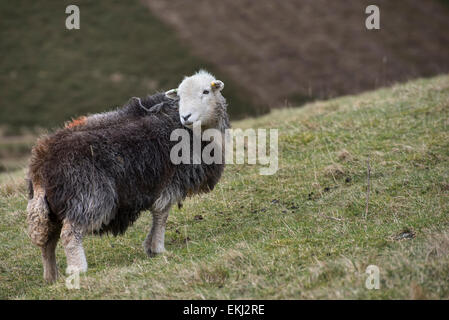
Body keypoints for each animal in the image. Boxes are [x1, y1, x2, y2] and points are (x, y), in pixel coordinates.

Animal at [26, 70, 229, 282]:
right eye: (180, 96)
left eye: (206, 91)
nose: (186, 116)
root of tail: (41, 165)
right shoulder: (171, 182)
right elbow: (161, 214)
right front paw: (158, 248)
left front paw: (150, 247)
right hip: (88, 197)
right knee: (69, 235)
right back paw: (78, 269)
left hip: (49, 207)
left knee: (47, 240)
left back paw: (51, 276)